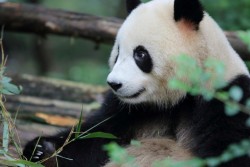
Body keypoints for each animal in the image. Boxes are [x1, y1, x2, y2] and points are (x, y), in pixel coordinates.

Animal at [22, 0, 250, 166]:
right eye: (117, 53)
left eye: (140, 54)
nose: (114, 84)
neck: (178, 99)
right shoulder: (129, 111)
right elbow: (97, 135)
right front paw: (42, 150)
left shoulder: (227, 102)